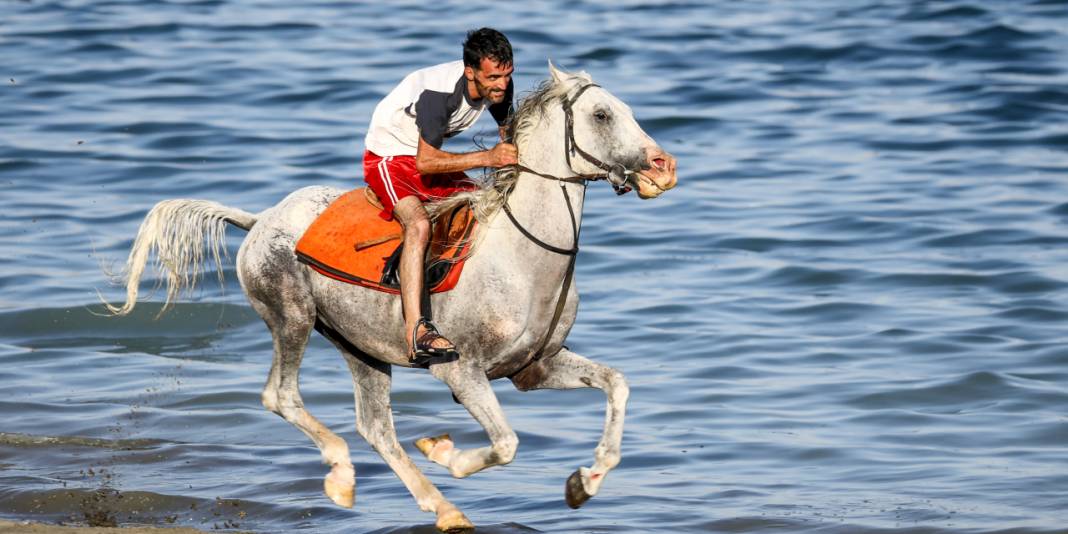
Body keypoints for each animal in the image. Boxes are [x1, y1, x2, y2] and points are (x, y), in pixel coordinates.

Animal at [108, 63, 674, 534]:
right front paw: (445, 453)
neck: (520, 256)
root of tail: (261, 219)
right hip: (292, 317)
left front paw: (585, 482)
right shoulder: (462, 372)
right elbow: (506, 443)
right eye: (602, 114)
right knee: (282, 397)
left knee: (376, 427)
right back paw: (343, 475)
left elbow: (617, 385)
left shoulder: (534, 368)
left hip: (359, 348)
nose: (662, 166)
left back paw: (443, 510)